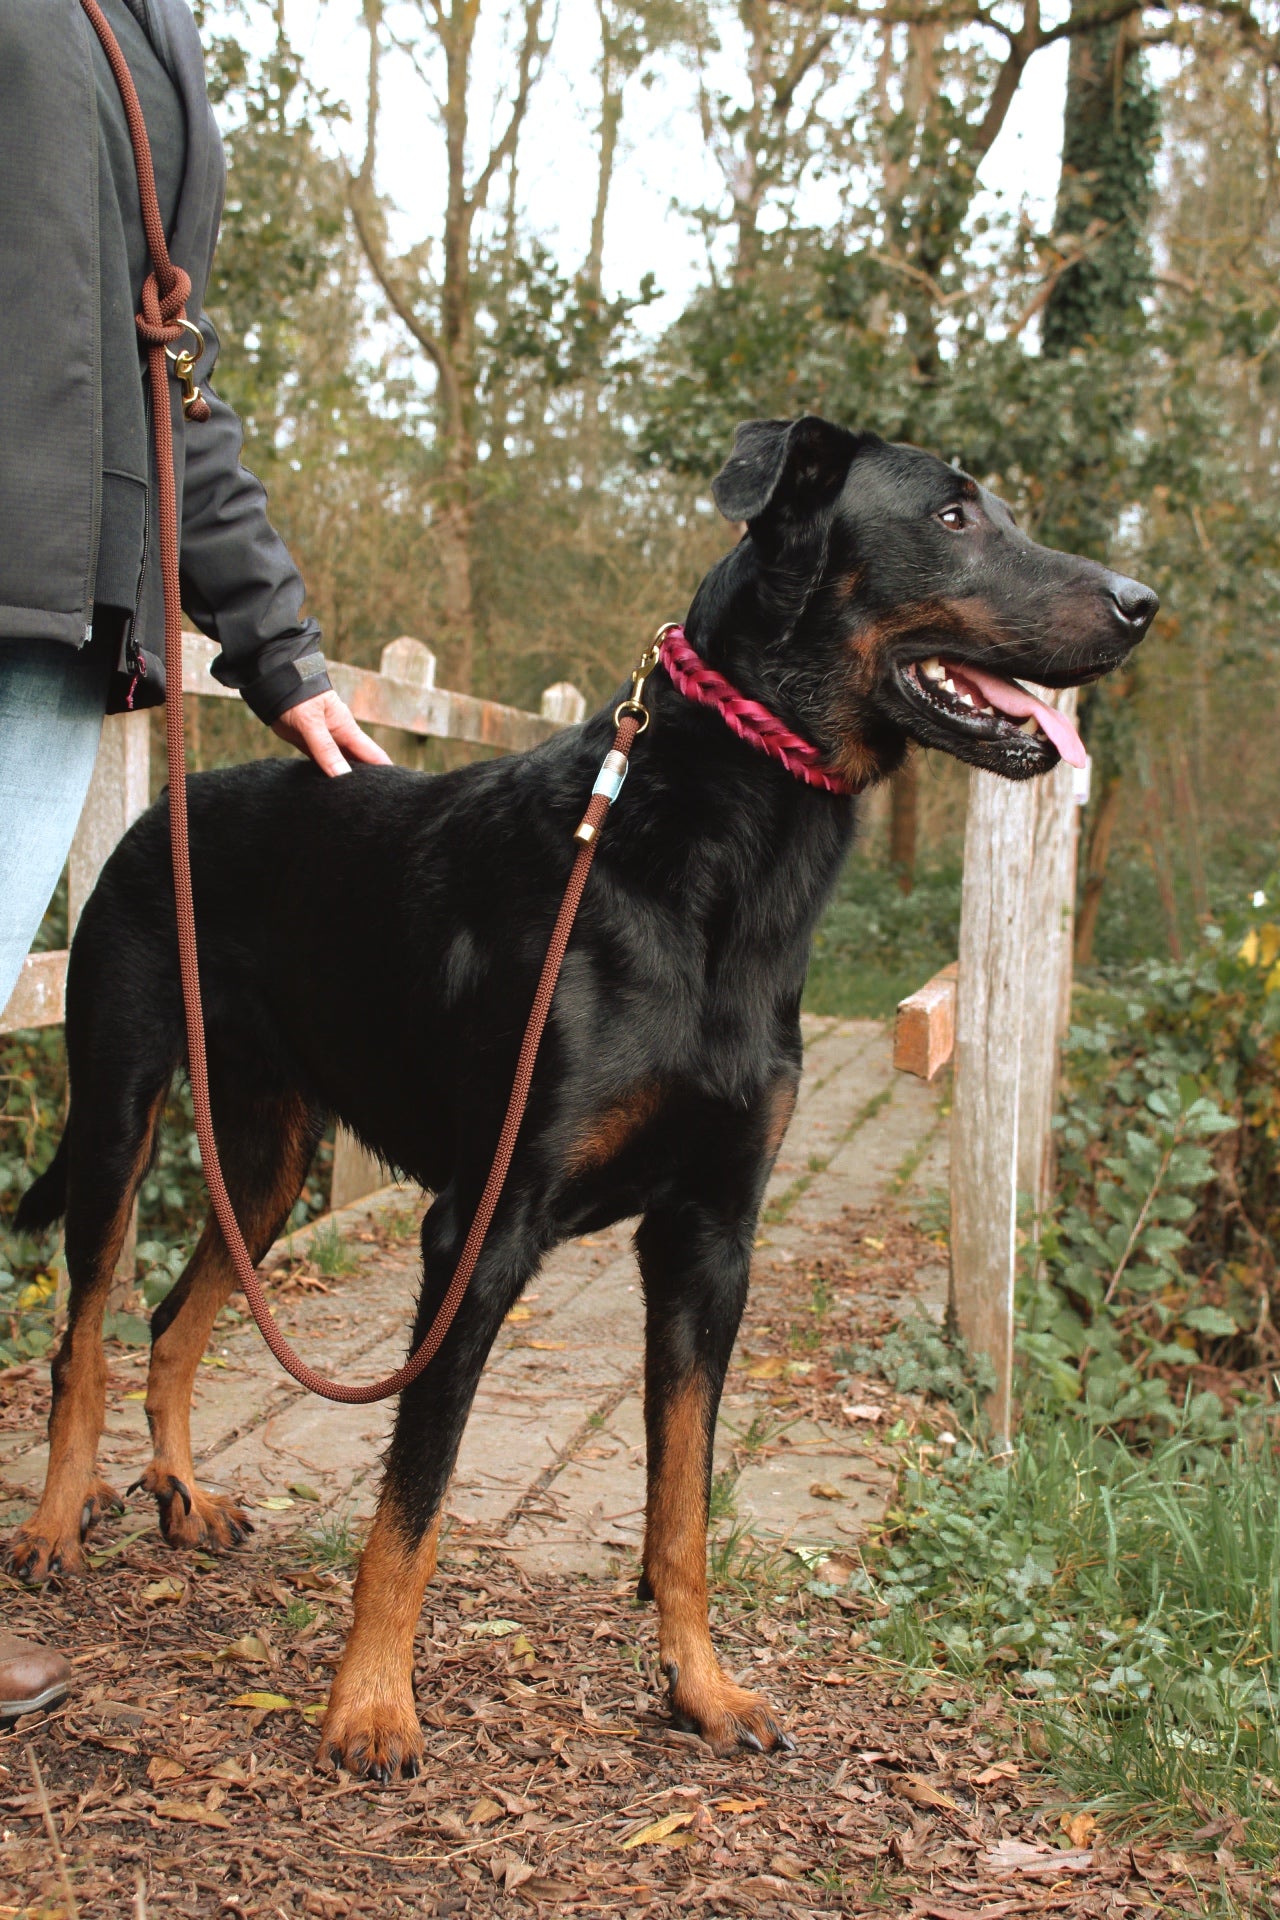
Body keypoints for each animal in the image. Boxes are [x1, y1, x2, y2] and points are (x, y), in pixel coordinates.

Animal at [5, 424, 1159, 1781]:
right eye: (950, 516)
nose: (1141, 604)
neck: (716, 856)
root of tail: (158, 814)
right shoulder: (479, 1230)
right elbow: (411, 1504)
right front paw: (371, 1705)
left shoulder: (709, 1240)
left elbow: (683, 1508)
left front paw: (699, 1687)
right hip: (119, 1113)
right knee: (83, 1335)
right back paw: (53, 1525)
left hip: (268, 1156)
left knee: (176, 1316)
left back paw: (183, 1494)